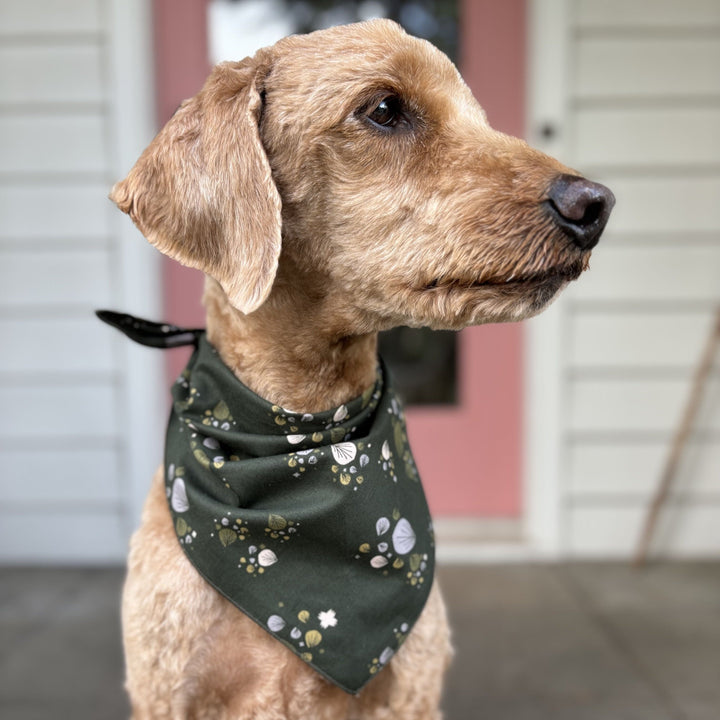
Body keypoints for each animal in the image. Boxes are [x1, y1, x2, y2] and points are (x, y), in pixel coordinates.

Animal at [111, 18, 612, 720]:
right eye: (383, 109)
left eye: (478, 114)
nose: (595, 204)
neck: (303, 439)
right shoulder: (165, 689)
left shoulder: (412, 690)